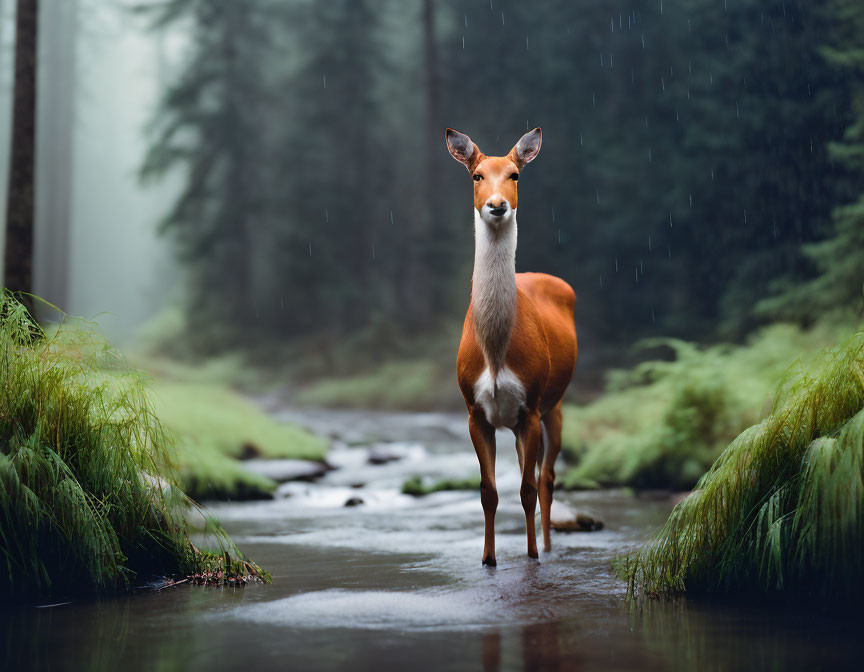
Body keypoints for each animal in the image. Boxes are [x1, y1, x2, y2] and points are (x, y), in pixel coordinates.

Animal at [446, 127, 580, 568]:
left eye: (515, 174)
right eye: (476, 175)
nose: (497, 205)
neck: (495, 352)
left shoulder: (531, 405)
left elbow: (526, 488)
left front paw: (533, 554)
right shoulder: (474, 409)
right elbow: (488, 491)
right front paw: (488, 558)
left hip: (554, 404)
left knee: (546, 478)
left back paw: (549, 545)